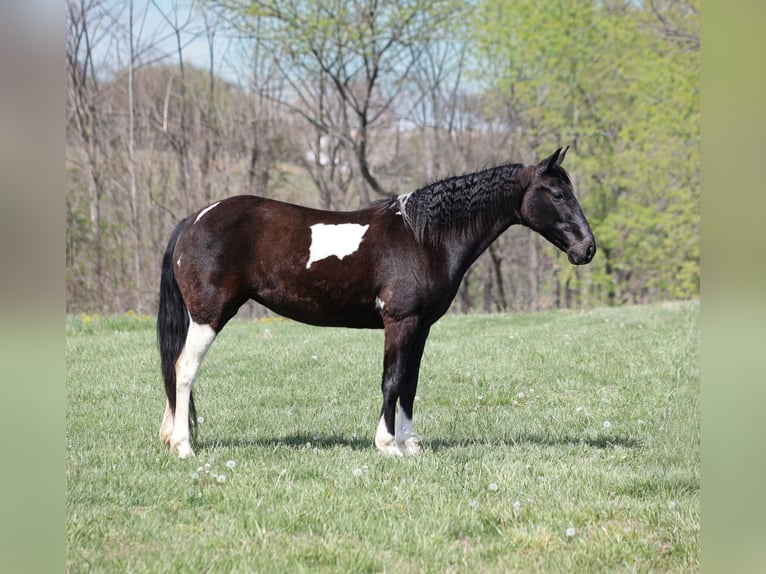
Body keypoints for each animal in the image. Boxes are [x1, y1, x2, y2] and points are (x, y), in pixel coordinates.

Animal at [157, 146, 596, 458]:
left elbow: (410, 383)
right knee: (184, 369)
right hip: (209, 317)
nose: (587, 248)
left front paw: (410, 444)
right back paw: (183, 446)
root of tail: (194, 219)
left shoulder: (420, 326)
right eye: (558, 194)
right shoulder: (399, 322)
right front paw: (387, 445)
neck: (423, 239)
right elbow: (391, 380)